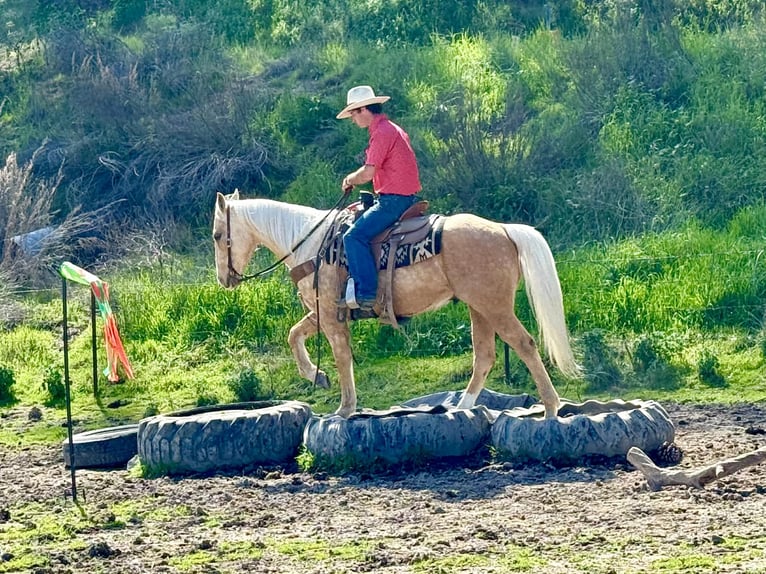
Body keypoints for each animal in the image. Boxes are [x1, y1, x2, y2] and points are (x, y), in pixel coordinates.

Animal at [212, 190, 579, 419]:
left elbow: (342, 357)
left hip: (495, 307)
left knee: (524, 344)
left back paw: (550, 408)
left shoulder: (330, 314)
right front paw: (316, 376)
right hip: (479, 307)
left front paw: (345, 408)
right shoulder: (321, 312)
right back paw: (462, 407)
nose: (224, 279)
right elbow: (294, 335)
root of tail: (503, 230)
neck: (310, 243)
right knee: (485, 356)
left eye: (217, 235)